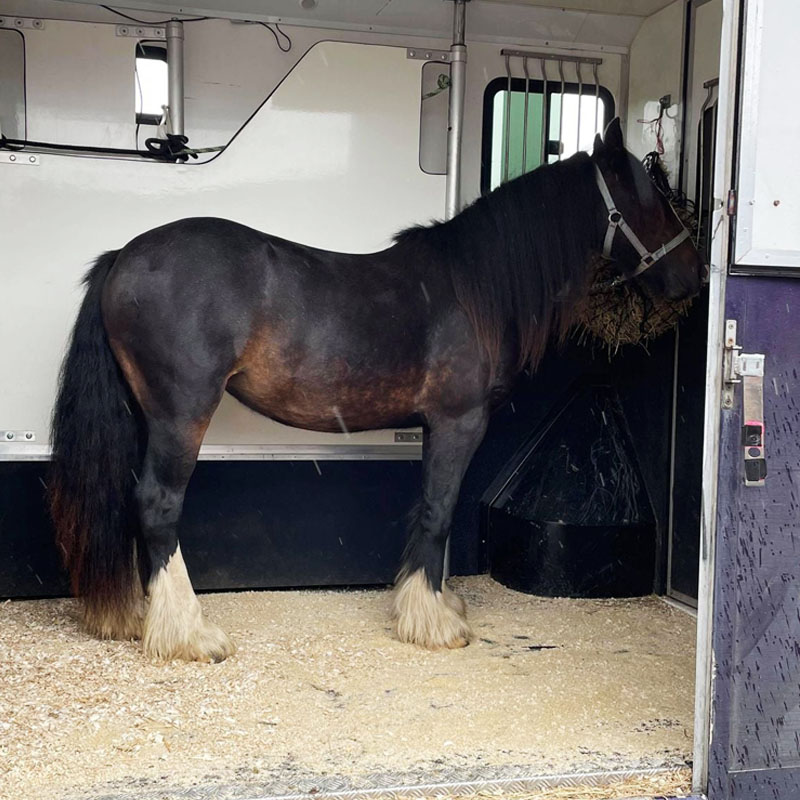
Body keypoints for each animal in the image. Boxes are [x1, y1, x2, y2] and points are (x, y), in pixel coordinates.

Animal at [50, 120, 700, 664]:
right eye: (651, 199)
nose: (692, 277)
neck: (472, 291)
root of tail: (123, 258)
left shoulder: (436, 426)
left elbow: (432, 506)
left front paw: (433, 602)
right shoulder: (460, 421)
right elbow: (440, 509)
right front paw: (434, 622)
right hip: (182, 414)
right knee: (158, 505)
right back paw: (189, 634)